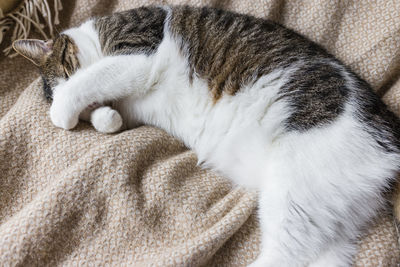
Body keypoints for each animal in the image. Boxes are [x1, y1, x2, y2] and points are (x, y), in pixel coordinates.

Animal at [11, 4, 400, 267]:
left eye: (66, 70)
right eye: (87, 114)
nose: (88, 113)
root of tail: (389, 135)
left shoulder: (137, 56)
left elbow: (90, 78)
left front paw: (61, 110)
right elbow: (110, 115)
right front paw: (103, 118)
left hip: (295, 189)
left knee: (283, 256)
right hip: (326, 213)